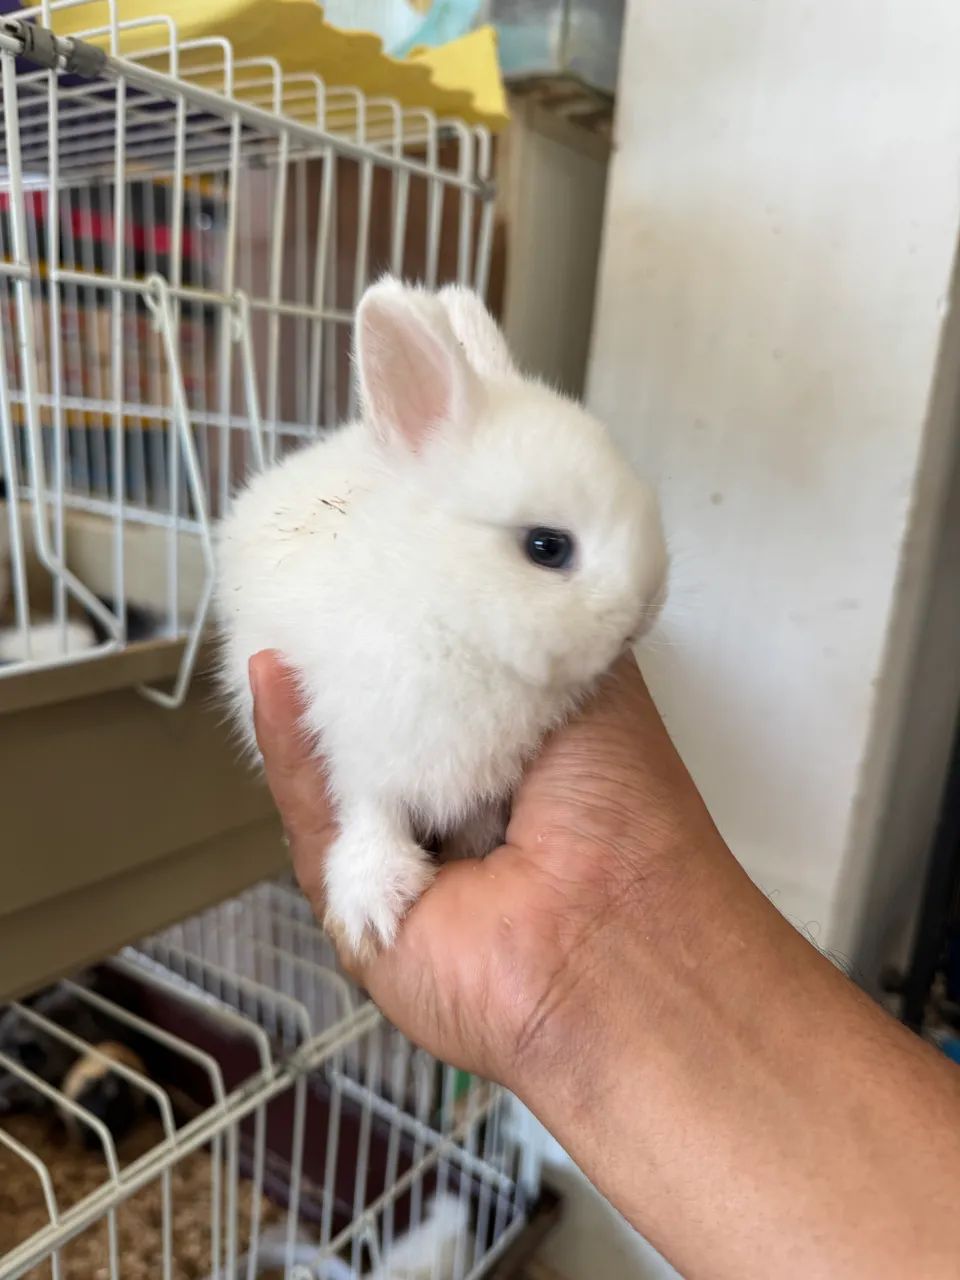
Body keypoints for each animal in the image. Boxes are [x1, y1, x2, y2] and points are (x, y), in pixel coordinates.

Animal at [215, 277, 667, 959]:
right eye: (547, 547)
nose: (643, 613)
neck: (453, 619)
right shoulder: (360, 744)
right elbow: (371, 812)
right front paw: (374, 902)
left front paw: (476, 843)